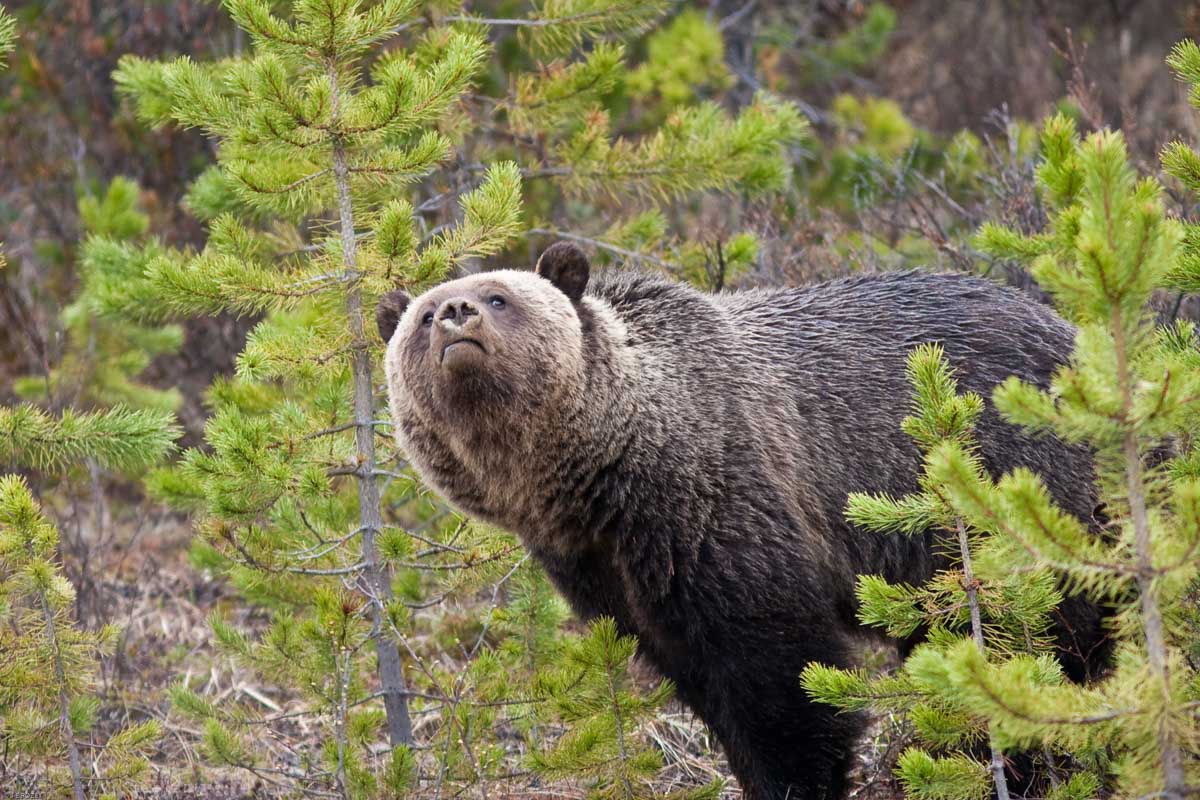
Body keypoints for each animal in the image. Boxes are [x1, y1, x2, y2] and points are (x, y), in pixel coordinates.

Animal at [377, 242, 1108, 800]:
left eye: (501, 295)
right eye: (421, 317)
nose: (455, 314)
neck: (603, 474)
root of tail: (1070, 330)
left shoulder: (721, 507)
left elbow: (782, 683)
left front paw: (798, 780)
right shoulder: (614, 575)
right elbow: (701, 679)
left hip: (1022, 477)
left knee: (1062, 627)